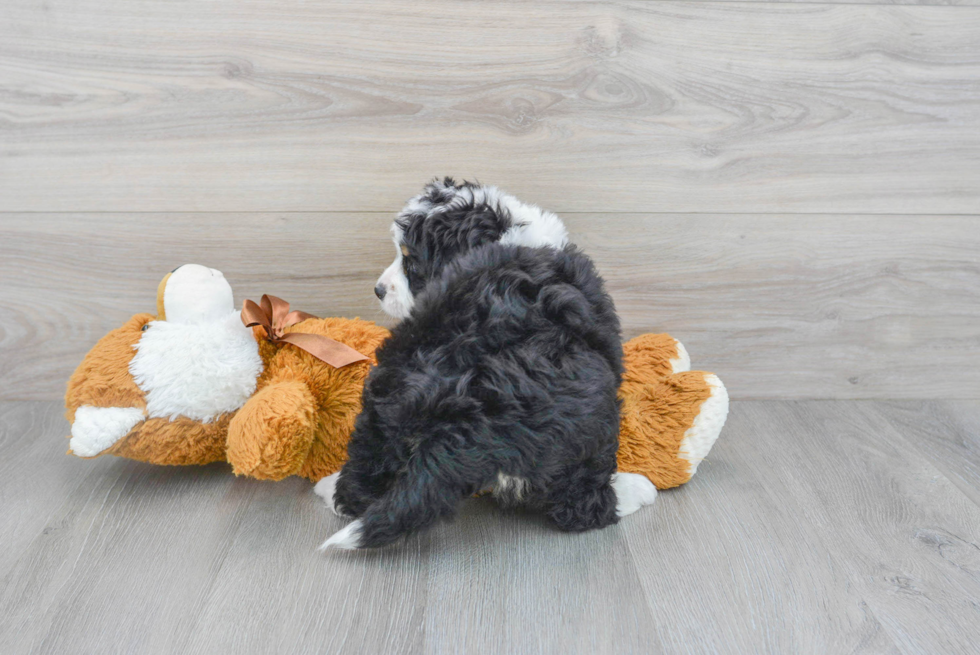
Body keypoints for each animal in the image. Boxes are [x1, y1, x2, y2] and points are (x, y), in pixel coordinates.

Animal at [318, 178, 660, 548]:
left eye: (411, 263)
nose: (379, 290)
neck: (506, 234)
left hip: (390, 378)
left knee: (369, 452)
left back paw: (335, 491)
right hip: (593, 411)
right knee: (582, 500)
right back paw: (634, 489)